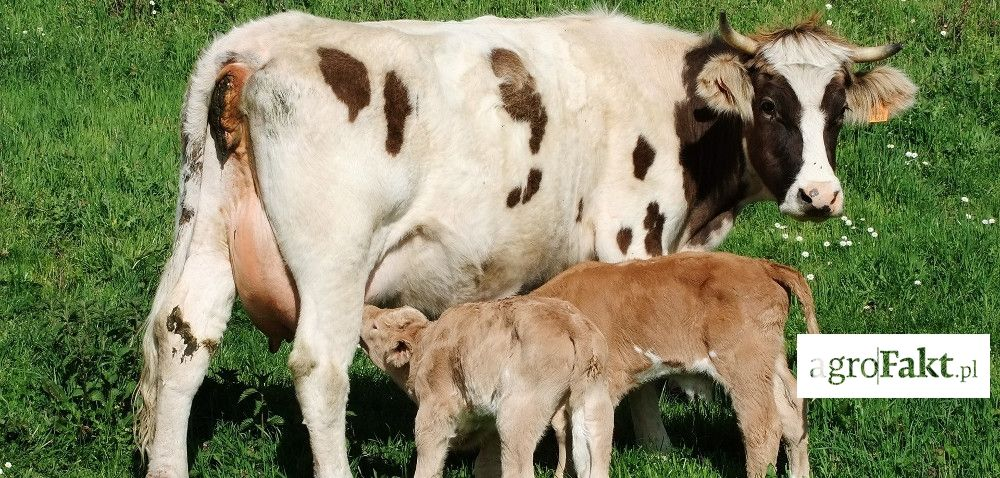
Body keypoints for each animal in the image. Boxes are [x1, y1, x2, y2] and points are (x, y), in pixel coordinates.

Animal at [356, 296, 612, 476]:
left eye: (376, 327)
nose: (363, 308)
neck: (424, 347)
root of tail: (573, 324)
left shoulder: (433, 413)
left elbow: (429, 462)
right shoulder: (488, 426)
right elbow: (485, 466)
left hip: (518, 414)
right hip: (596, 403)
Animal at [532, 252, 820, 476]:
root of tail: (762, 266)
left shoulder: (599, 385)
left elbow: (586, 441)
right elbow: (564, 432)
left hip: (743, 361)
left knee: (763, 425)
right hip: (769, 358)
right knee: (793, 409)